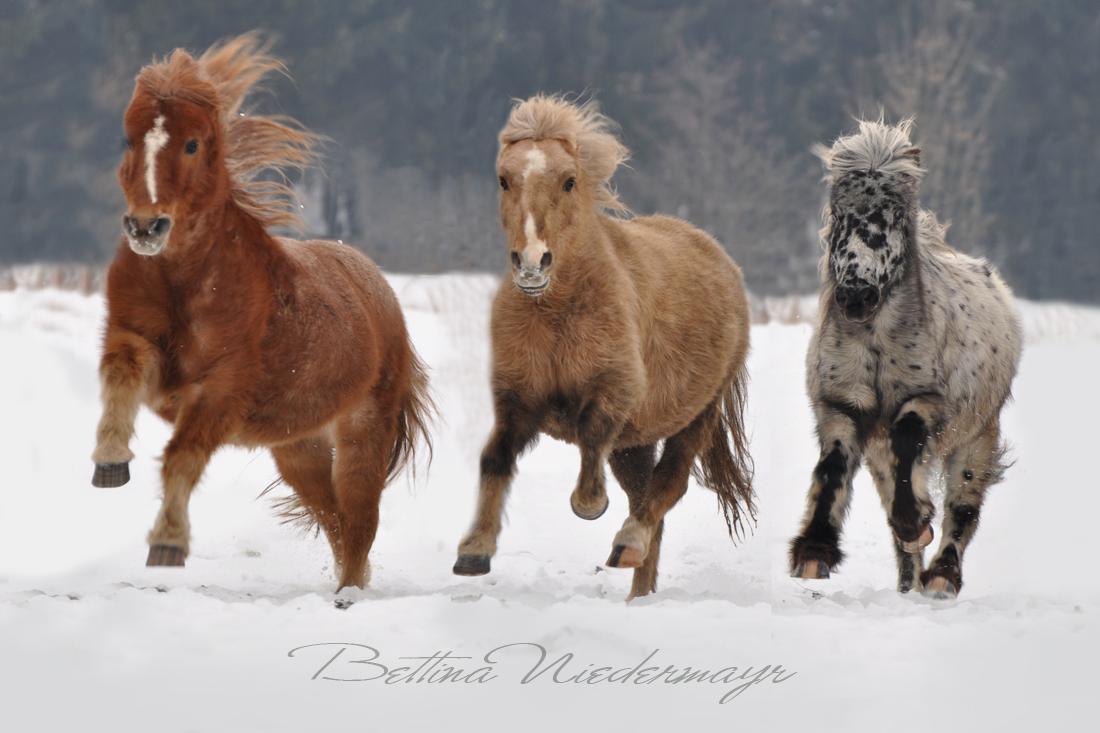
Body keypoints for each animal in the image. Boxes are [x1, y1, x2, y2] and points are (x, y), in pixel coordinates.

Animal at [89, 35, 429, 594]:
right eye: (128, 140)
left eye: (192, 144)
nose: (145, 227)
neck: (187, 281)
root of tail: (379, 291)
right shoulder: (134, 340)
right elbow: (119, 378)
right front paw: (110, 463)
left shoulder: (221, 388)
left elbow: (182, 456)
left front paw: (168, 543)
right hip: (298, 447)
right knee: (333, 517)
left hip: (363, 429)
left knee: (358, 515)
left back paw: (348, 594)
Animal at [448, 95, 756, 598]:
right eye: (504, 178)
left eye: (569, 180)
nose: (531, 264)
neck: (557, 314)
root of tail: (719, 256)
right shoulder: (517, 400)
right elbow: (495, 458)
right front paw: (474, 551)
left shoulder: (616, 389)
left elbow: (592, 433)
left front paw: (589, 503)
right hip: (637, 442)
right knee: (646, 500)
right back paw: (637, 590)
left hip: (697, 415)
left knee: (667, 486)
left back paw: (627, 545)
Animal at [792, 119, 1020, 598]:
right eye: (838, 214)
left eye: (895, 216)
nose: (855, 297)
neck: (877, 339)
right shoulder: (841, 405)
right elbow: (833, 468)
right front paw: (814, 550)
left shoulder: (924, 399)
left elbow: (908, 440)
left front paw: (916, 522)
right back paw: (909, 581)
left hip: (977, 439)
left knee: (962, 507)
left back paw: (942, 576)